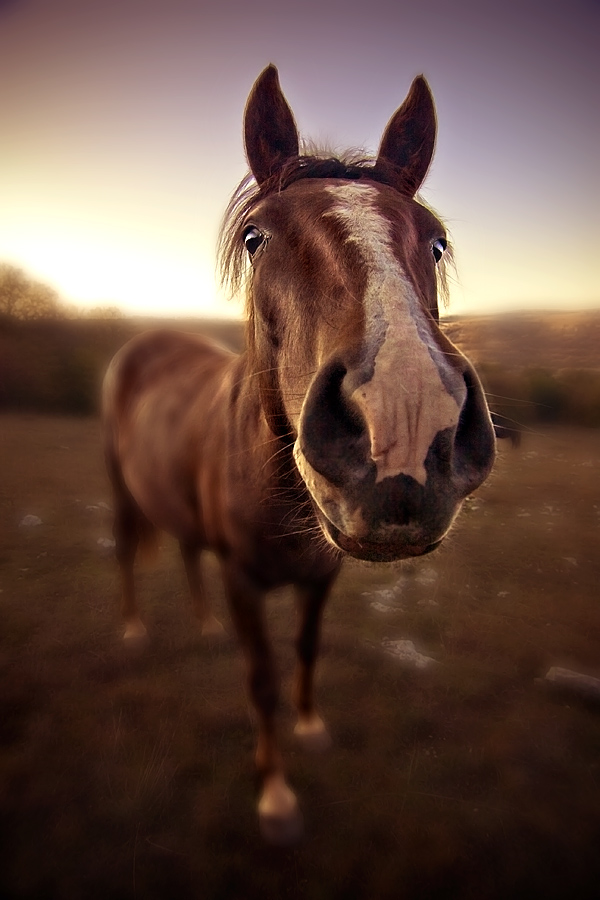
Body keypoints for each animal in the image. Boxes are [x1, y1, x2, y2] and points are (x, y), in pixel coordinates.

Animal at [102, 63, 496, 844]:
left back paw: (199, 625)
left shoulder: (322, 577)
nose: (406, 420)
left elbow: (308, 648)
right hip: (122, 489)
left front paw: (312, 727)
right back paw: (133, 628)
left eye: (436, 242)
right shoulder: (245, 584)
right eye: (257, 238)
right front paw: (276, 796)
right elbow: (259, 681)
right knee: (129, 547)